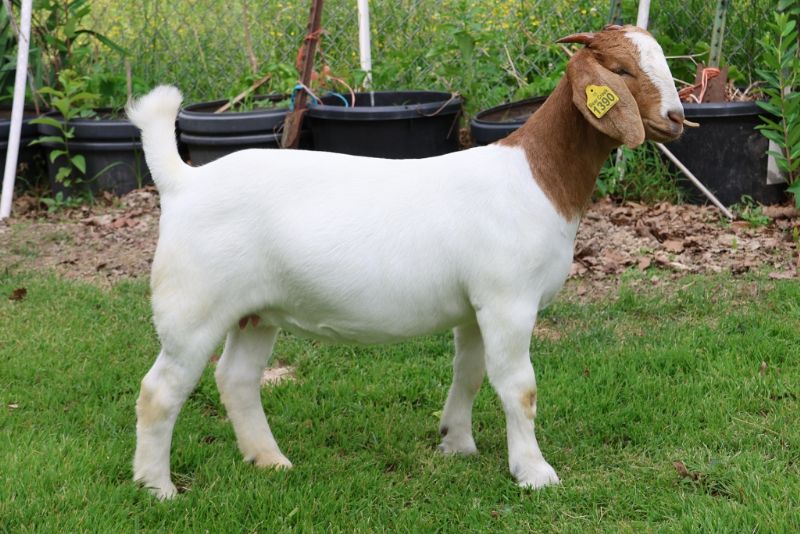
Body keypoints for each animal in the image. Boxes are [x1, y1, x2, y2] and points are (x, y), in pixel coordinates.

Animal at [127, 25, 685, 499]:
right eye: (622, 69)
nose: (678, 118)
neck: (535, 177)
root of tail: (184, 181)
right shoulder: (508, 301)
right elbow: (519, 388)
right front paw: (534, 472)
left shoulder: (475, 307)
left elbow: (469, 373)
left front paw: (456, 443)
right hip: (194, 303)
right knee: (160, 390)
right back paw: (157, 487)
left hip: (255, 310)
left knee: (237, 380)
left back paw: (269, 461)